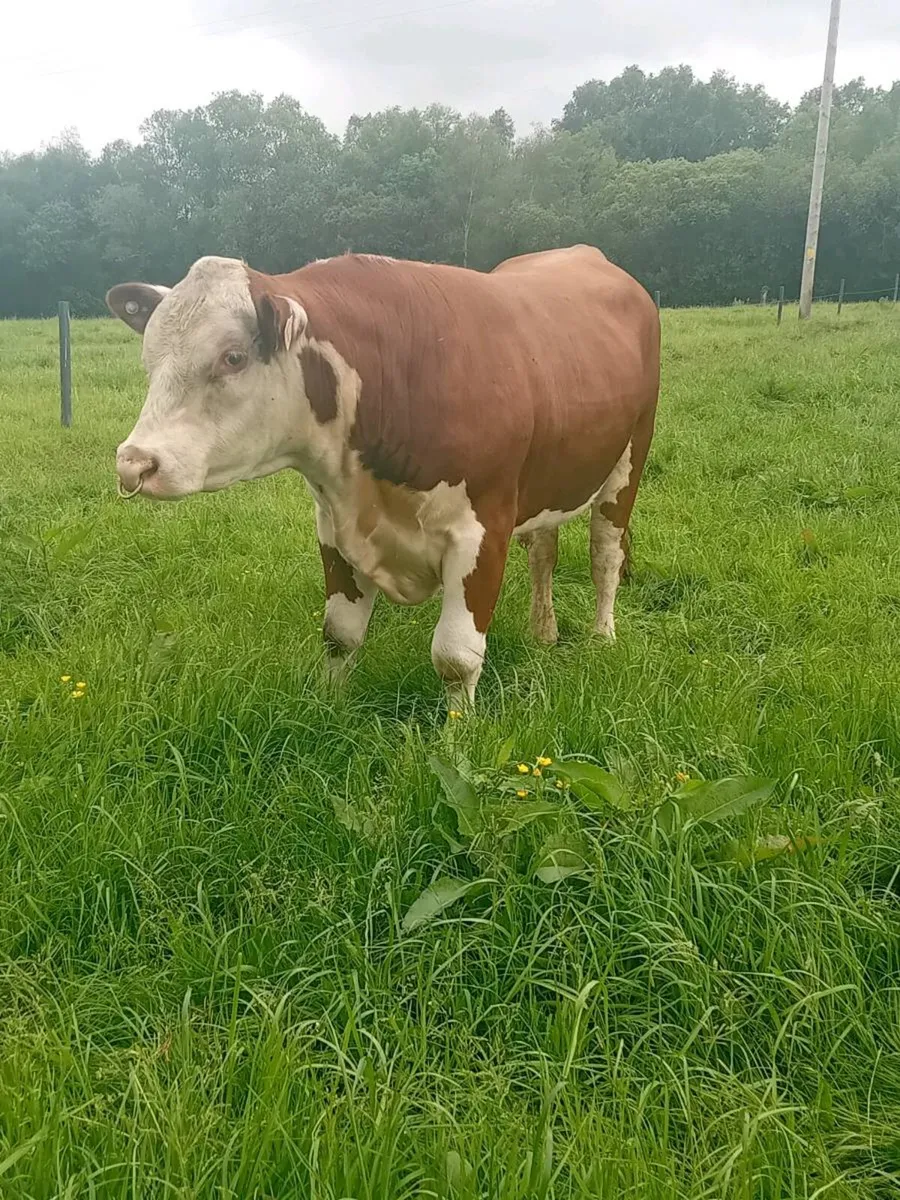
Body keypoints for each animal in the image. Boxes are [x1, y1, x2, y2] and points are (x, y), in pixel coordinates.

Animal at [107, 246, 660, 711]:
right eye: (150, 360)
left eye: (233, 356)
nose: (134, 463)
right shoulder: (334, 525)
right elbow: (340, 634)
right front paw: (330, 710)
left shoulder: (482, 530)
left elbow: (456, 655)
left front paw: (457, 739)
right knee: (544, 549)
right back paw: (544, 633)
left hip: (629, 460)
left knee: (605, 554)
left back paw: (602, 637)